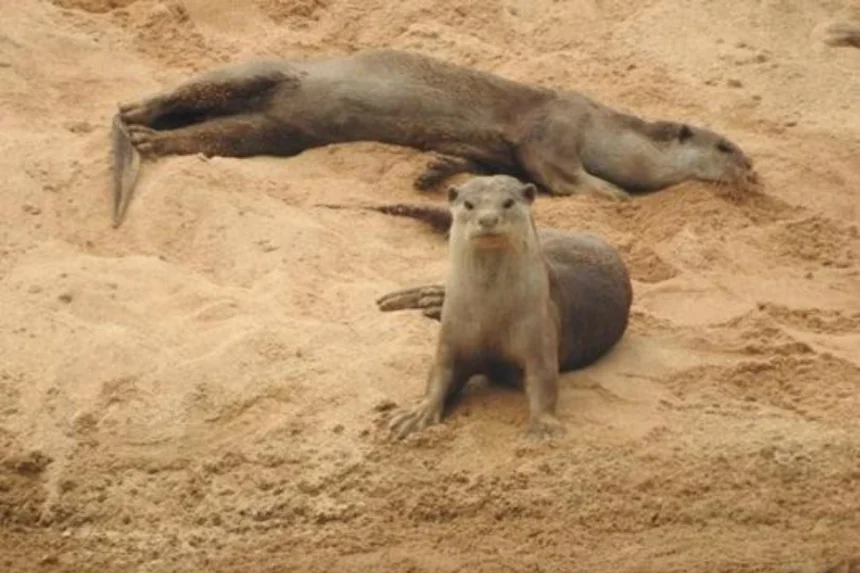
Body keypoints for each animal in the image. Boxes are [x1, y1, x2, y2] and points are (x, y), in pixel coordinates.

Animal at [110, 49, 758, 227]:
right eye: (726, 146)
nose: (752, 167)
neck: (604, 131)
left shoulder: (500, 147)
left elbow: (491, 167)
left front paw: (431, 171)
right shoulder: (554, 126)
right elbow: (559, 173)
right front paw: (613, 194)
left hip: (271, 131)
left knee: (219, 133)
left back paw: (150, 139)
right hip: (263, 73)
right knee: (198, 88)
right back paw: (139, 112)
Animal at [366, 175, 633, 439]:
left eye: (508, 203)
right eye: (469, 204)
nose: (487, 219)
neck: (490, 314)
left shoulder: (539, 333)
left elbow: (544, 380)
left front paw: (544, 425)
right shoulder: (452, 336)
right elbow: (439, 373)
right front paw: (416, 414)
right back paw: (417, 298)